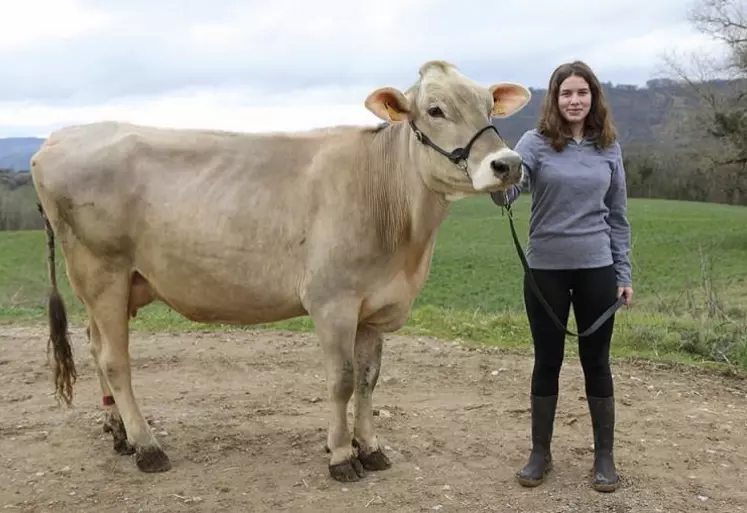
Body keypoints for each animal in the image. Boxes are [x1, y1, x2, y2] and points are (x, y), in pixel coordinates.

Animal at [30, 60, 532, 480]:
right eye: (435, 109)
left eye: (489, 105)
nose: (507, 164)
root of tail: (55, 140)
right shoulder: (332, 301)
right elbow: (342, 380)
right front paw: (341, 456)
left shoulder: (374, 307)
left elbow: (368, 380)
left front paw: (370, 448)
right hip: (102, 273)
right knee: (115, 360)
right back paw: (148, 447)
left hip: (111, 285)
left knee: (96, 347)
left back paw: (119, 434)